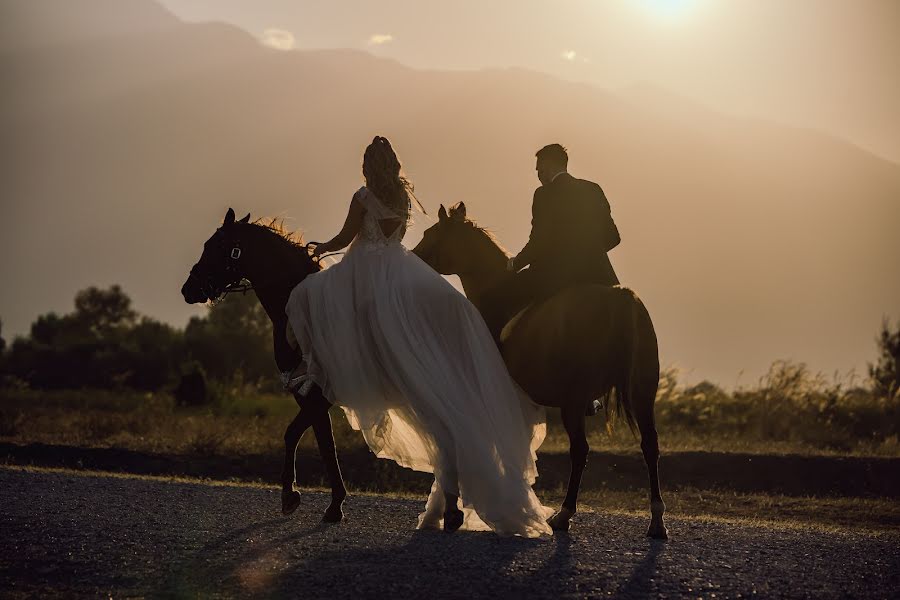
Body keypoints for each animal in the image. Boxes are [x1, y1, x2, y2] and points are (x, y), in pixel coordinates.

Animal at [182, 209, 348, 524]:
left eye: (214, 246)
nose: (188, 289)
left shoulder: (319, 391)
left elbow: (301, 435)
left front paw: (298, 496)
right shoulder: (307, 391)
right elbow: (321, 441)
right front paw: (326, 502)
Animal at [414, 203, 668, 540]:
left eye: (431, 234)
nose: (412, 257)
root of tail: (622, 299)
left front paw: (458, 512)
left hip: (575, 400)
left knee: (580, 451)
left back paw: (564, 515)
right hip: (642, 393)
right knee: (650, 446)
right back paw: (657, 521)